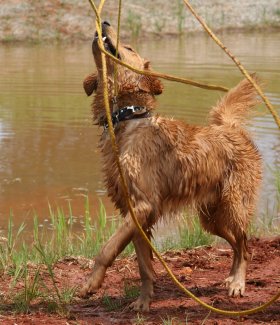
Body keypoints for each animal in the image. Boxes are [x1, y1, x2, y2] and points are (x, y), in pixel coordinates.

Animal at [79, 21, 262, 310]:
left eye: (129, 47)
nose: (105, 22)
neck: (126, 119)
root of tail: (230, 128)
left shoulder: (142, 205)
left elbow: (107, 249)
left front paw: (91, 283)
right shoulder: (134, 213)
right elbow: (143, 266)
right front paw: (143, 302)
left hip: (234, 205)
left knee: (244, 244)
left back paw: (238, 283)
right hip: (211, 218)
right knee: (236, 244)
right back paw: (232, 276)